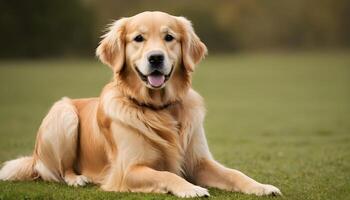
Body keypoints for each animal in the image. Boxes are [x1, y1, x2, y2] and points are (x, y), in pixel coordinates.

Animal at [0, 10, 282, 197]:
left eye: (169, 37)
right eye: (138, 38)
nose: (156, 58)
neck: (159, 109)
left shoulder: (199, 161)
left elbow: (235, 173)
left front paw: (261, 186)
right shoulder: (128, 169)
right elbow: (166, 173)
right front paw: (191, 189)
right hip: (64, 113)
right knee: (60, 170)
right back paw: (77, 179)